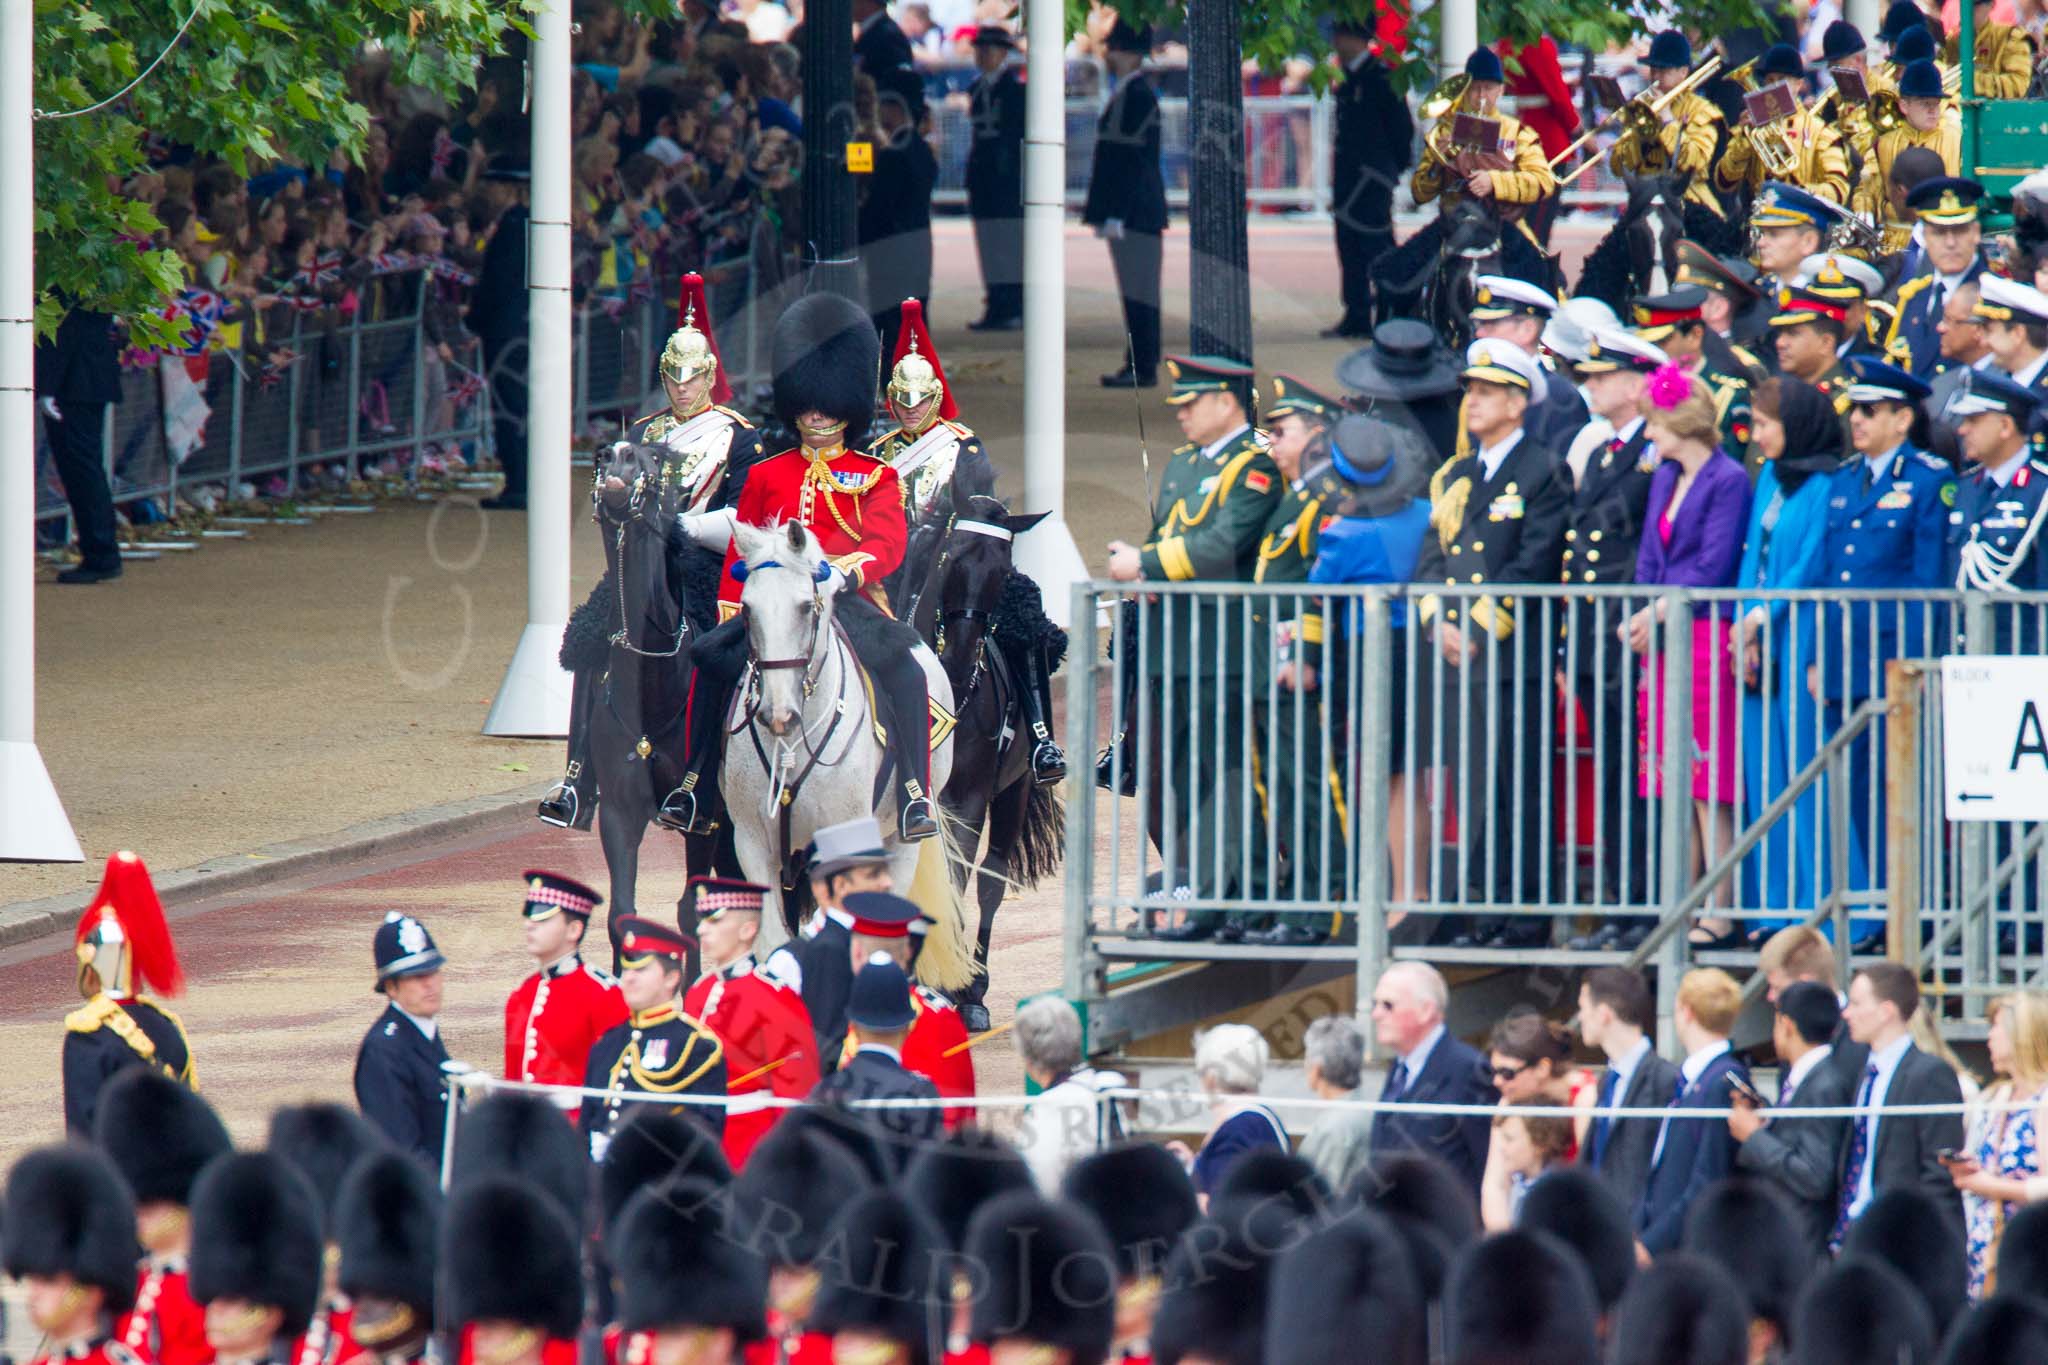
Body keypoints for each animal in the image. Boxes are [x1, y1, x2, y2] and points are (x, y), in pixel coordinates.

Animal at [565, 444, 741, 965]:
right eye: (603, 457)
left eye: (652, 461)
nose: (617, 457)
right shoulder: (619, 812)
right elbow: (622, 915)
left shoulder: (702, 814)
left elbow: (690, 912)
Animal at [724, 517, 970, 978]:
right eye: (747, 609)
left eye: (806, 606)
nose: (778, 714)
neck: (792, 745)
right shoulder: (752, 844)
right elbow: (774, 942)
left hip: (900, 841)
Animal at [913, 497, 1073, 1031]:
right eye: (951, 556)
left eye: (1004, 573)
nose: (963, 653)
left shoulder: (967, 798)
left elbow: (957, 880)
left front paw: (949, 985)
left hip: (1013, 792)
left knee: (989, 880)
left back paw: (973, 988)